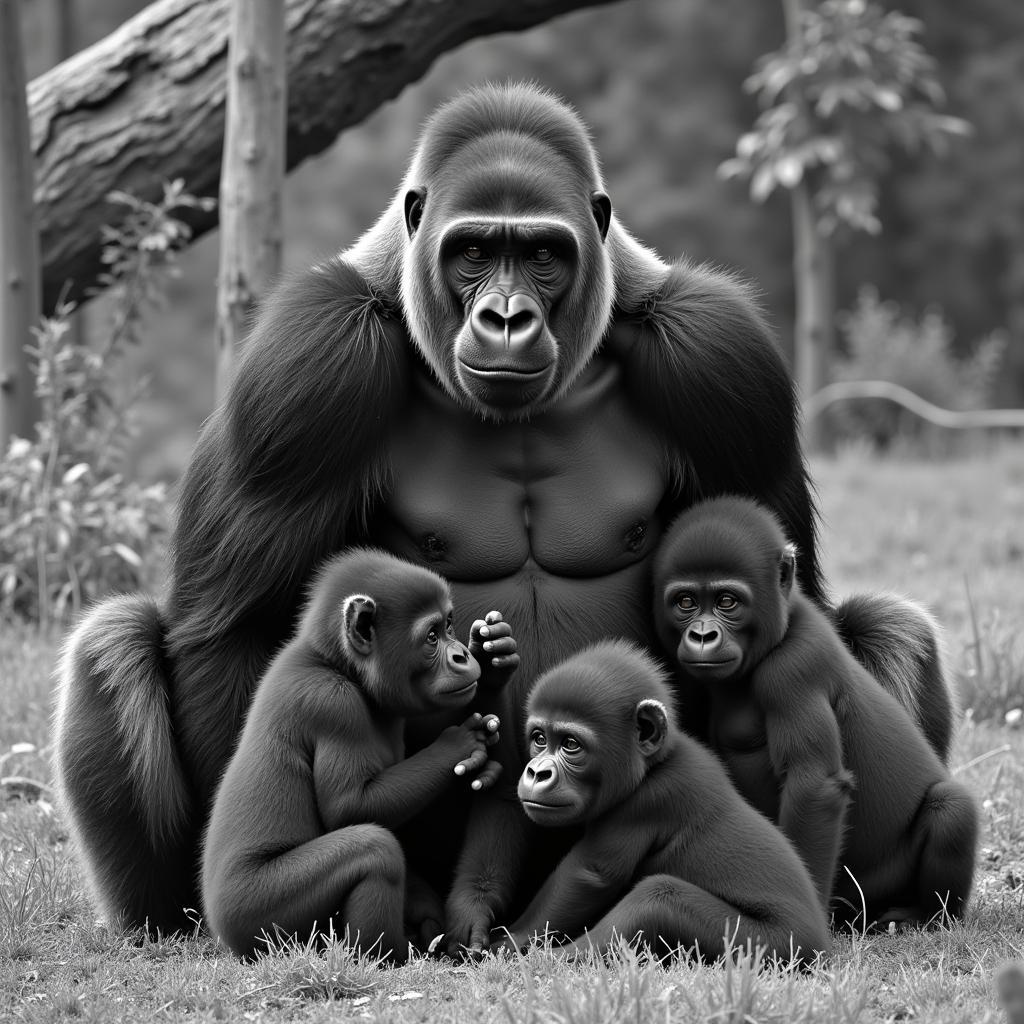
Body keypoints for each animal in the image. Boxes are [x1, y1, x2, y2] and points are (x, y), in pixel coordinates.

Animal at [201, 552, 520, 958]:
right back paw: (385, 956)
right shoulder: (332, 704)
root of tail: (218, 929)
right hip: (255, 911)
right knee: (375, 850)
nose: (462, 655)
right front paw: (458, 746)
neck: (336, 663)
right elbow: (350, 806)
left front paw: (494, 658)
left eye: (449, 626)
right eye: (432, 636)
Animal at [489, 638, 831, 958]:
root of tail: (822, 944)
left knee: (657, 899)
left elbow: (590, 874)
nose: (536, 772)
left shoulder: (651, 801)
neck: (656, 763)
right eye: (540, 739)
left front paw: (513, 940)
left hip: (770, 943)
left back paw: (562, 957)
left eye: (571, 744)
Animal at [651, 495, 978, 929]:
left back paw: (923, 913)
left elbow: (813, 786)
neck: (785, 623)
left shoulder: (794, 669)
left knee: (950, 808)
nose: (703, 635)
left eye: (727, 602)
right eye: (686, 602)